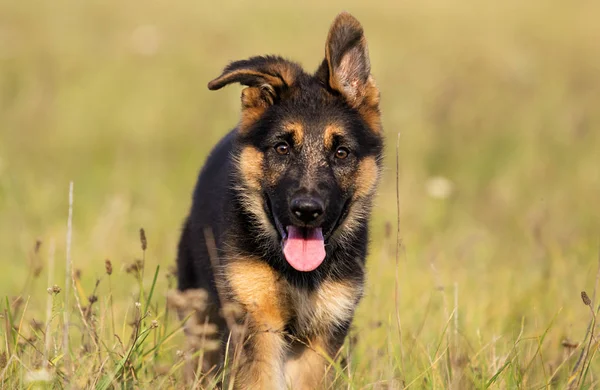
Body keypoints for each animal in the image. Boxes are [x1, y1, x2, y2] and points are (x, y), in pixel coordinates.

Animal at [177, 12, 384, 390]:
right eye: (282, 148)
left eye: (342, 153)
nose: (307, 211)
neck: (299, 275)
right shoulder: (256, 320)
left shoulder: (323, 331)